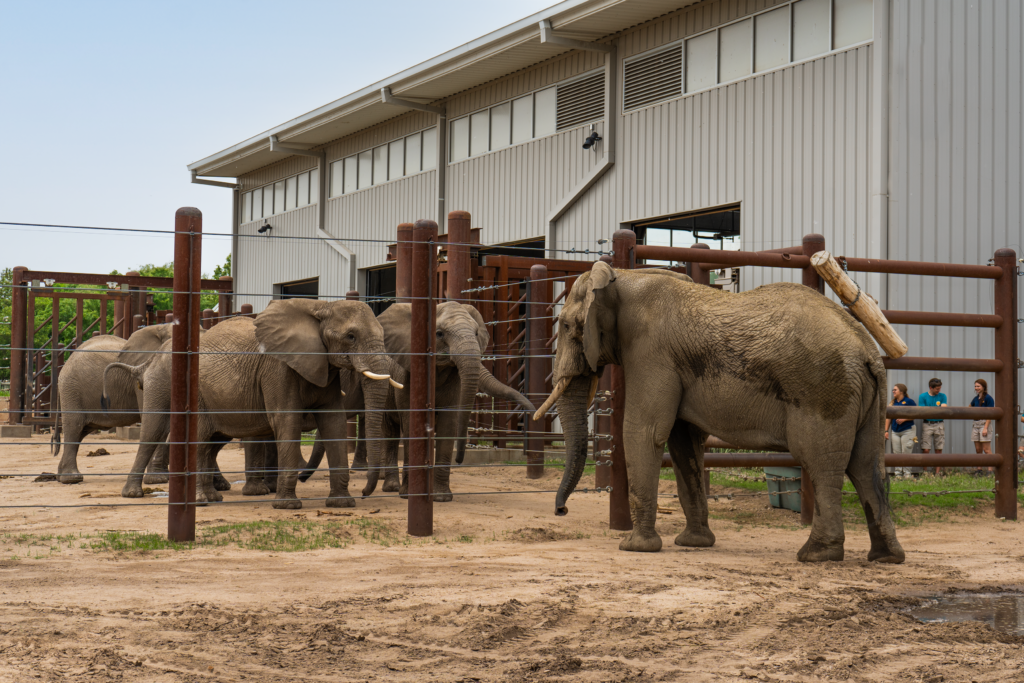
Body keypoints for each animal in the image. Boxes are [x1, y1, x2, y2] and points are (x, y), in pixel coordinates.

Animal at [52, 325, 173, 485]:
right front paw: (158, 480)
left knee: (81, 431)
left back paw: (61, 477)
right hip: (72, 390)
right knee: (74, 427)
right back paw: (71, 479)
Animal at [348, 303, 536, 501]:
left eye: (477, 333)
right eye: (439, 334)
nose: (459, 460)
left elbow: (448, 423)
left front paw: (441, 497)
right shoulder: (405, 372)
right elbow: (410, 423)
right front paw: (409, 495)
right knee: (390, 431)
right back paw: (392, 487)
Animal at [536, 259, 905, 565]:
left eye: (566, 326)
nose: (561, 510)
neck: (624, 276)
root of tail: (868, 349)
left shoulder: (650, 352)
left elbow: (645, 431)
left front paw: (634, 547)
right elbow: (683, 441)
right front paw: (693, 543)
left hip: (824, 389)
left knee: (822, 463)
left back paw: (815, 555)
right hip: (867, 398)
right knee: (865, 465)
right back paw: (885, 557)